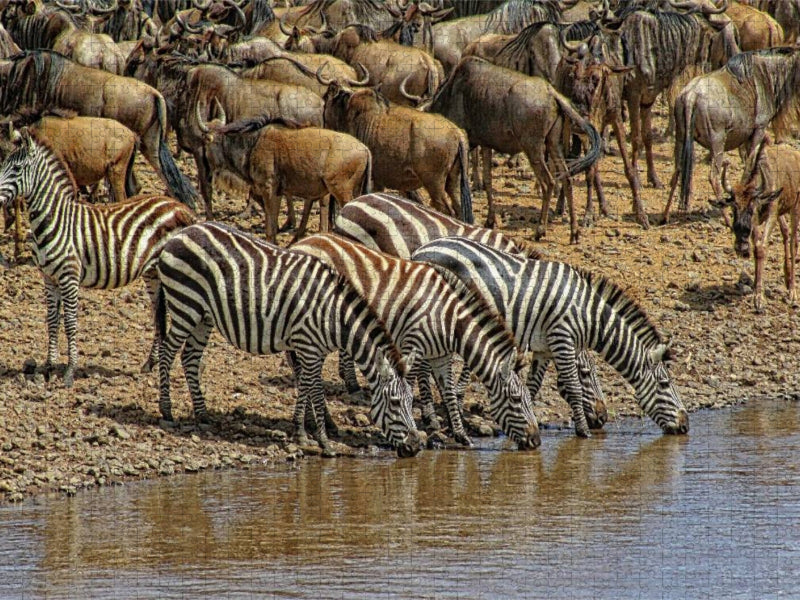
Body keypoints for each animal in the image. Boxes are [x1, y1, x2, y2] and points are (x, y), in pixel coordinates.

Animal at [0, 127, 195, 387]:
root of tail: (178, 206)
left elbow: (70, 323)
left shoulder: (69, 277)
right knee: (158, 312)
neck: (55, 220)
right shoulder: (49, 278)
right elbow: (52, 321)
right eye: (3, 165)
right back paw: (150, 363)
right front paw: (48, 366)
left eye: (17, 169)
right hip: (153, 272)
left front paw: (70, 371)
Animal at [155, 222, 422, 458]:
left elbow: (305, 385)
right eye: (395, 403)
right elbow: (316, 391)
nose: (415, 447)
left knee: (190, 357)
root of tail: (181, 233)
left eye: (411, 401)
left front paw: (301, 433)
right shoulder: (309, 346)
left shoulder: (312, 349)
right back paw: (166, 411)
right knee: (167, 353)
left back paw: (202, 415)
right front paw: (324, 442)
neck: (333, 316)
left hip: (204, 316)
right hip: (185, 304)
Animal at [290, 233, 541, 450]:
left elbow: (449, 393)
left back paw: (321, 422)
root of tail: (301, 243)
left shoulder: (441, 356)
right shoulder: (412, 344)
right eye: (516, 399)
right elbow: (408, 388)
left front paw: (461, 435)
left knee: (305, 374)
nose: (537, 441)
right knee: (306, 376)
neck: (448, 320)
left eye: (530, 400)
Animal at [333, 192, 608, 430]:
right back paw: (351, 383)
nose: (603, 418)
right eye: (585, 374)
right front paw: (455, 398)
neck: (520, 286)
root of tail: (352, 203)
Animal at [411, 237, 689, 437]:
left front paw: (527, 418)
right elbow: (574, 388)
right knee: (421, 367)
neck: (588, 314)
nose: (686, 425)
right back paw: (432, 419)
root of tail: (420, 250)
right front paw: (583, 432)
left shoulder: (544, 348)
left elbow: (533, 386)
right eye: (665, 384)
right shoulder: (562, 338)